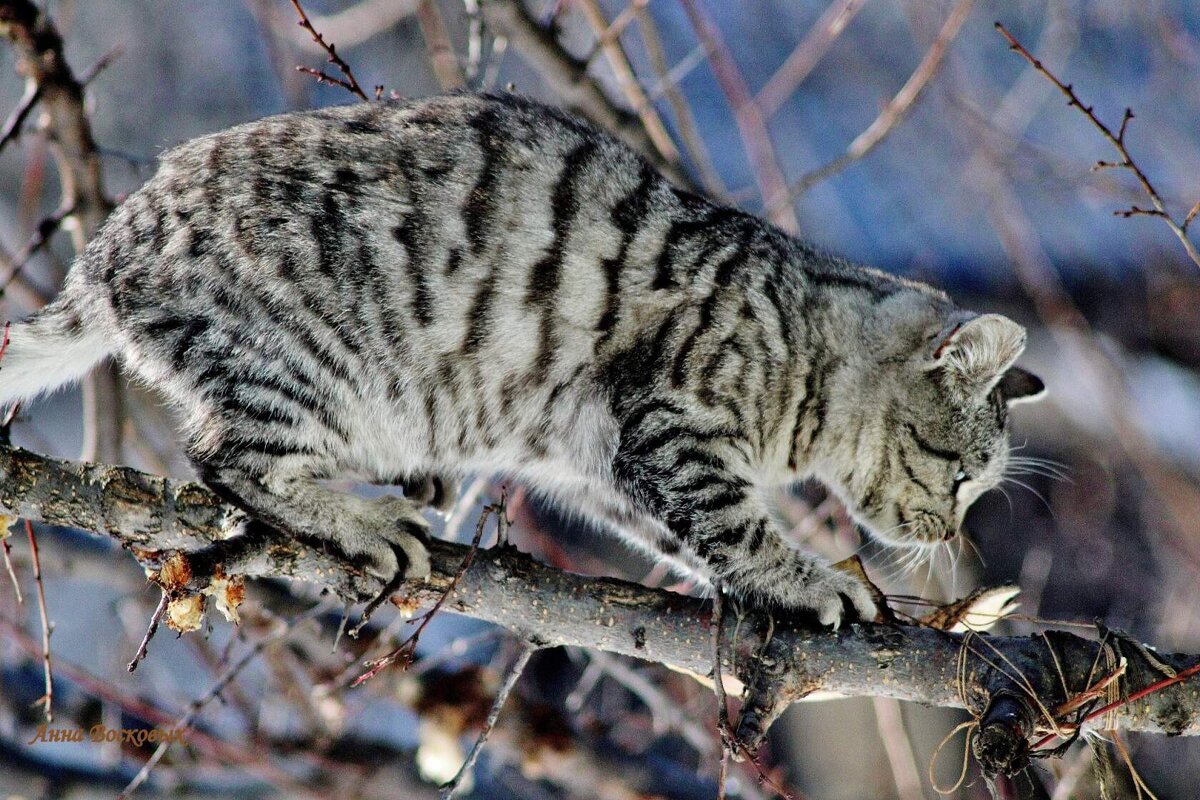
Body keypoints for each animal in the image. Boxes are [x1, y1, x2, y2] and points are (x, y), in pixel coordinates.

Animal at [0, 89, 1041, 623]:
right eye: (964, 477)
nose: (953, 536)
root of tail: (112, 245)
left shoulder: (604, 461)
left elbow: (682, 532)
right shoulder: (672, 422)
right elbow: (737, 523)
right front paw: (815, 581)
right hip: (307, 365)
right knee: (229, 457)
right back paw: (362, 521)